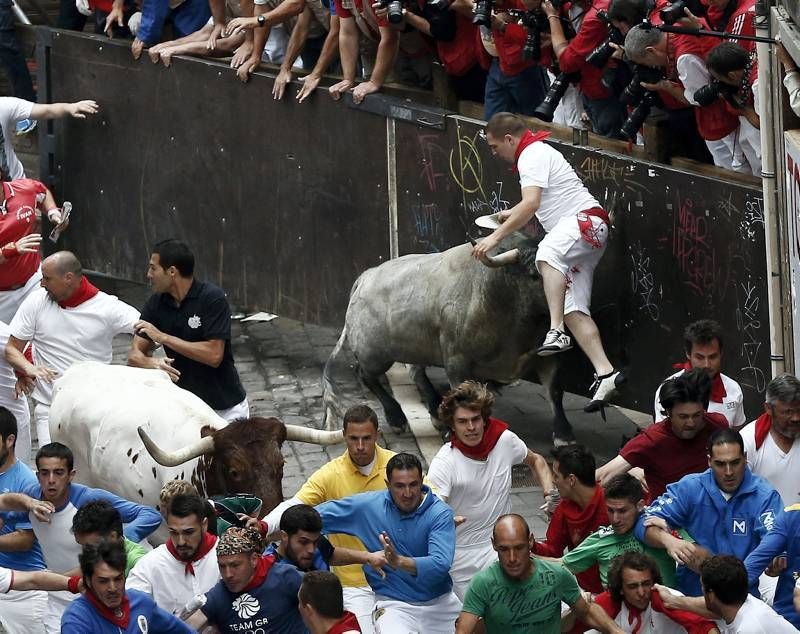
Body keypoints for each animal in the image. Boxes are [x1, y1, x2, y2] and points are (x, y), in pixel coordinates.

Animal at [322, 233, 580, 444]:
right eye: (534, 275)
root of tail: (366, 276)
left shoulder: (546, 356)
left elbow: (555, 391)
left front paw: (564, 434)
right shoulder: (458, 361)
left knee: (415, 372)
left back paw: (435, 412)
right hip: (375, 354)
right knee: (367, 376)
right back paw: (397, 418)